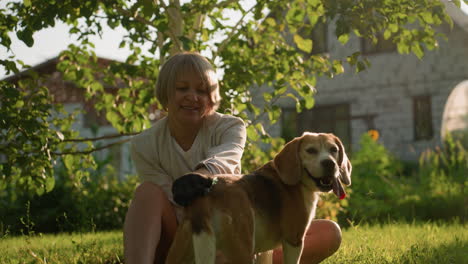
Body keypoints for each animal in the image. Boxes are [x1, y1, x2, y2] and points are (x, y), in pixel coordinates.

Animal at [166, 133, 352, 262]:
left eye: (334, 150)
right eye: (311, 151)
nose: (330, 163)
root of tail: (205, 196)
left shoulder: (264, 251)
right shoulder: (293, 240)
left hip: (180, 252)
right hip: (242, 249)